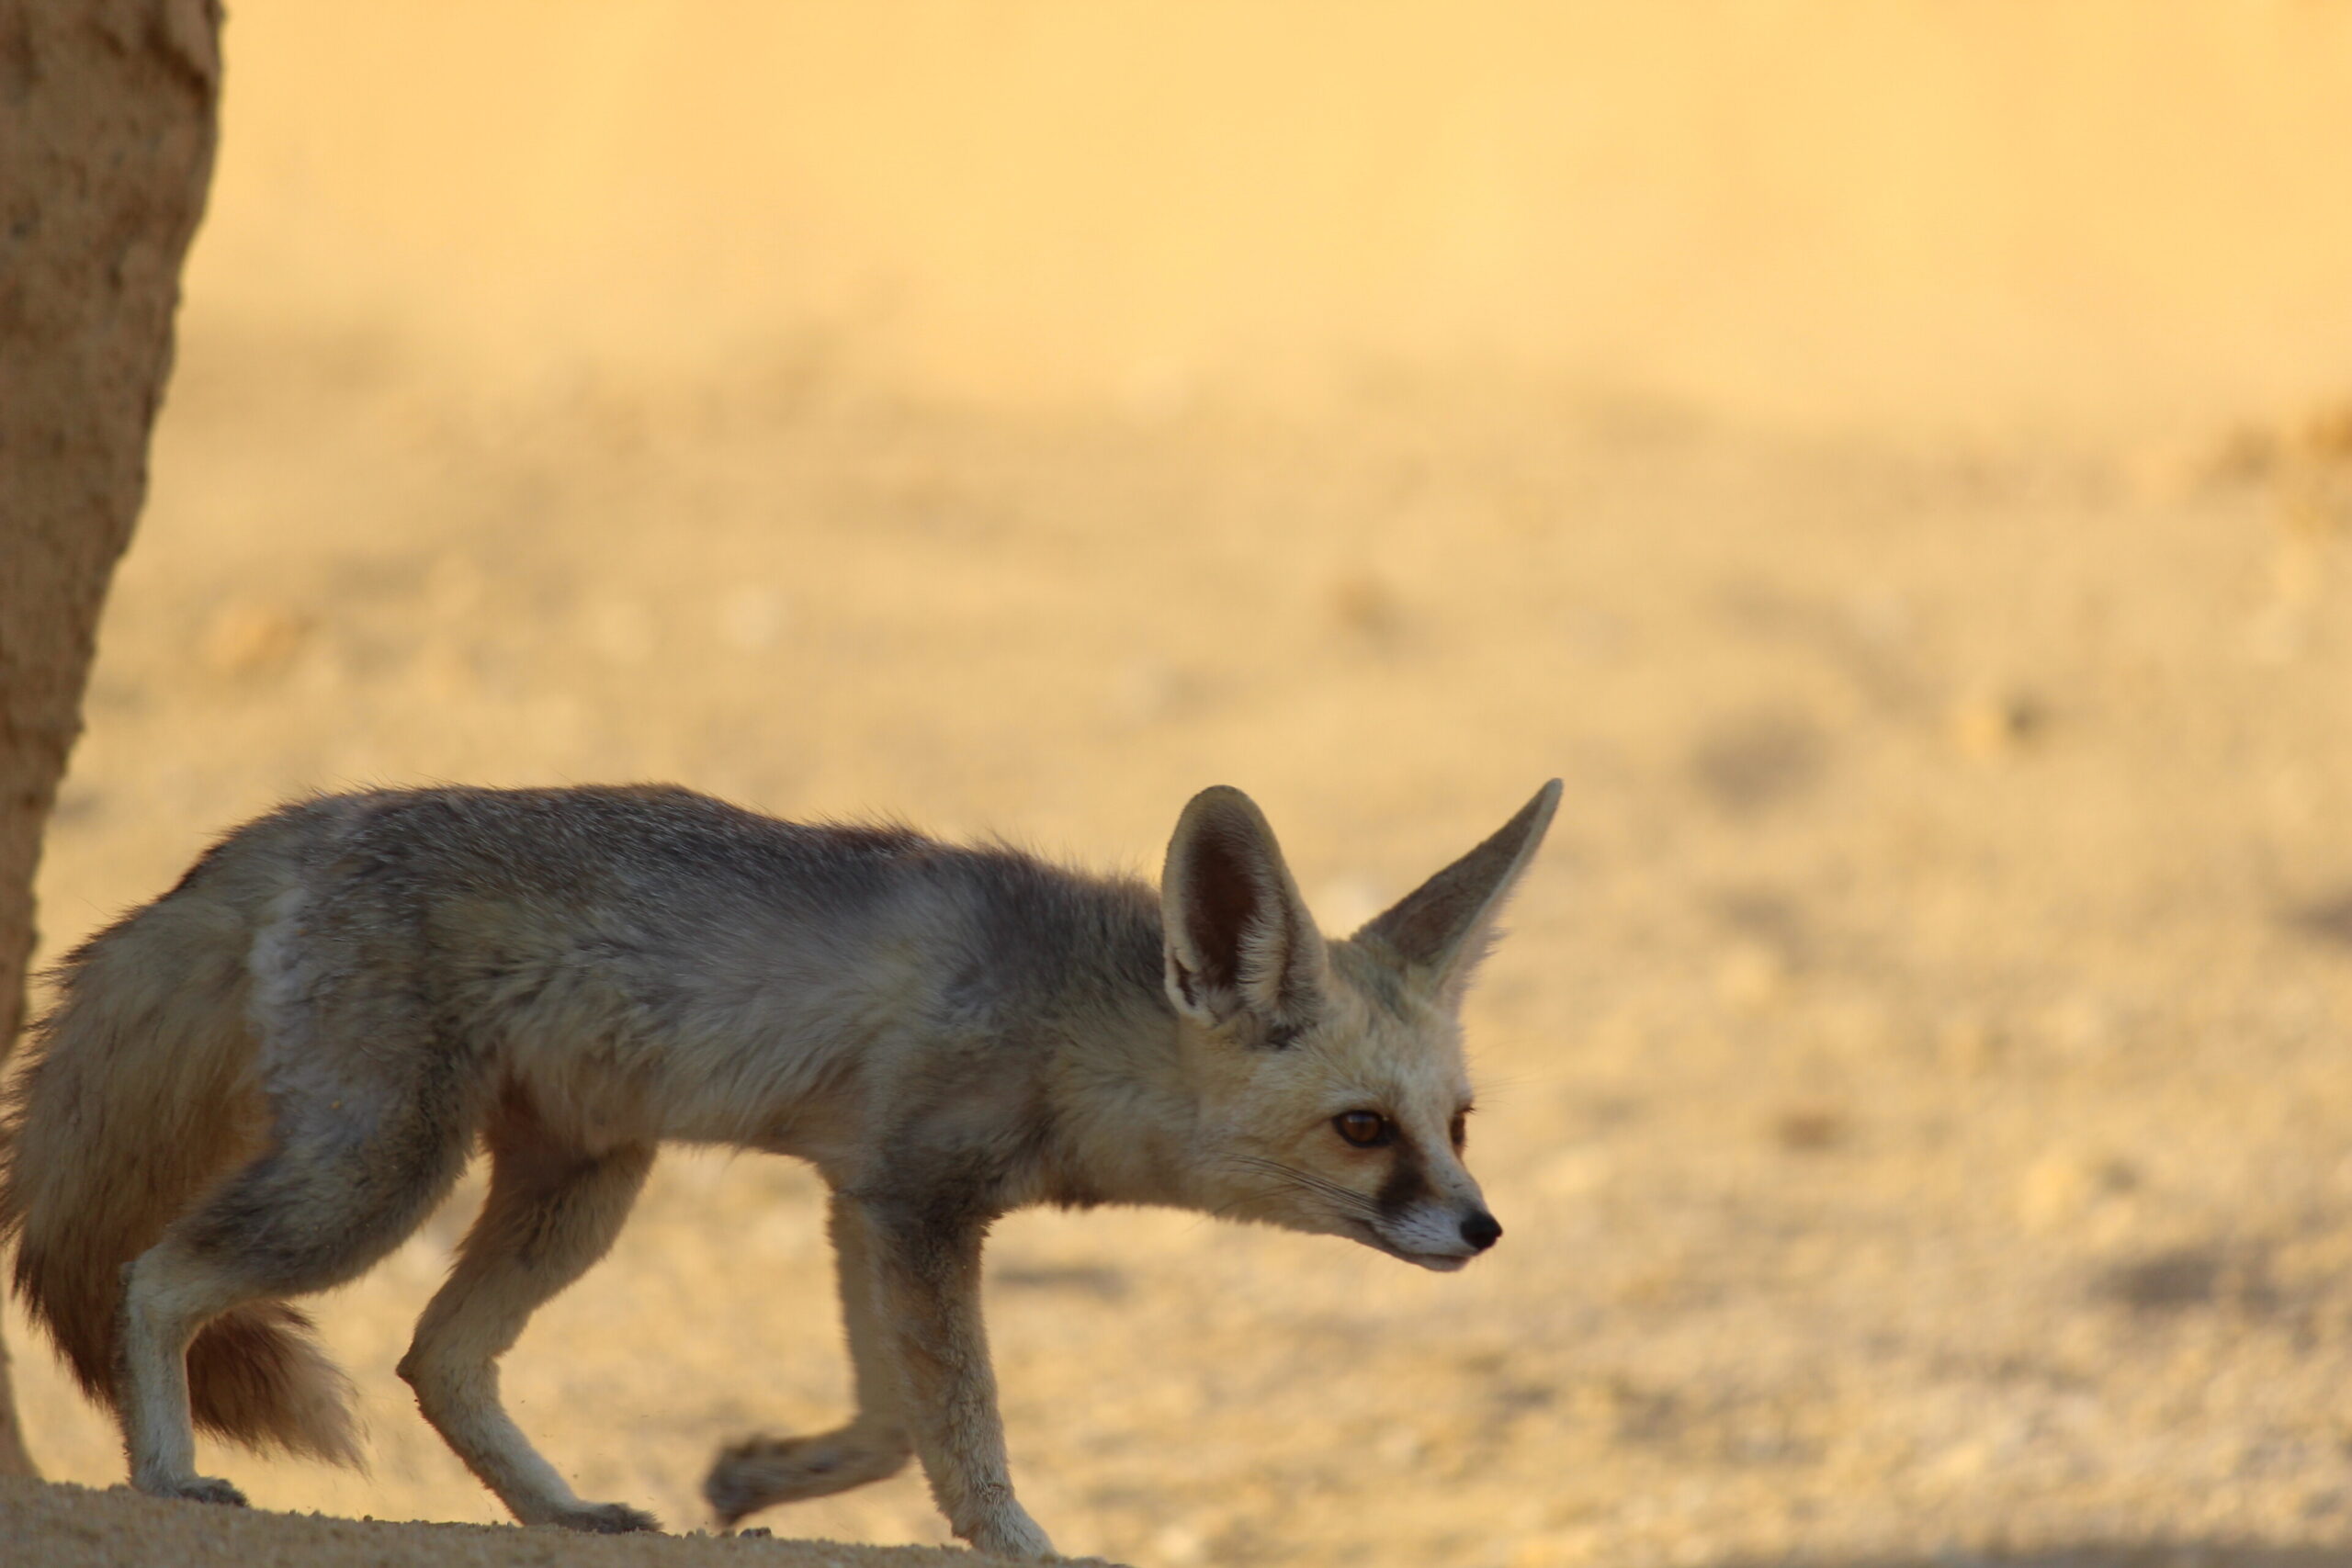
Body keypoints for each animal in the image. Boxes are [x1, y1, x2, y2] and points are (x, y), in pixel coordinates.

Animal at [1, 778, 1557, 1559]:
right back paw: (165, 1471)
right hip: (375, 1181)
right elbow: (960, 1429)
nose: (1483, 1229)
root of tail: (294, 822)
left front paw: (751, 1473)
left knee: (436, 1357)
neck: (1063, 1012)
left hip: (580, 1186)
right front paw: (1024, 1542)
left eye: (1460, 1121)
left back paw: (566, 1511)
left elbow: (887, 1421)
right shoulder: (916, 1203)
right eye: (1364, 1128)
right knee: (153, 1273)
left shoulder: (865, 1198)